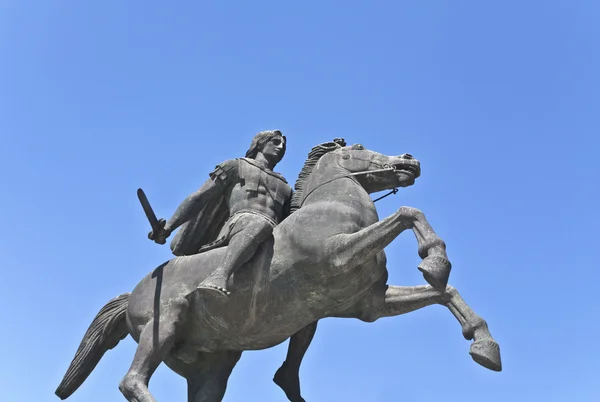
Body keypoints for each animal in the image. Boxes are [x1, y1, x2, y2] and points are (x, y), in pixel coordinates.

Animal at [55, 141, 502, 402]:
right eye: (361, 146)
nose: (409, 161)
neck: (332, 208)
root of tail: (133, 293)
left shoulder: (368, 305)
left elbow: (444, 293)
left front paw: (484, 345)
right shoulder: (337, 255)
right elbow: (408, 213)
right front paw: (434, 259)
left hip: (211, 364)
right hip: (163, 326)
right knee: (132, 381)